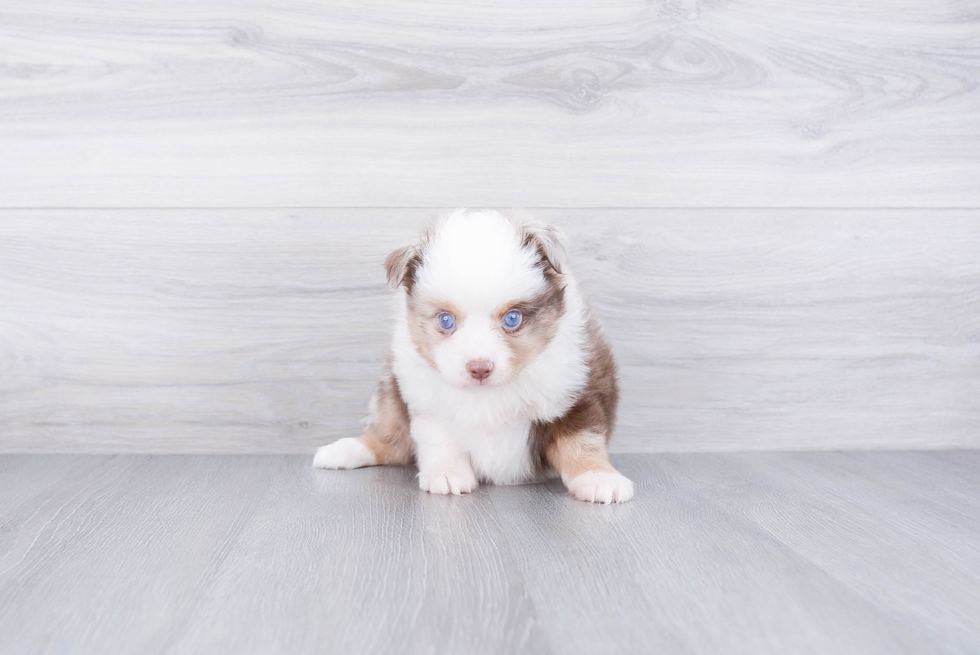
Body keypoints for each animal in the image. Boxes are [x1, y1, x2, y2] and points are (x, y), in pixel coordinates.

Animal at [314, 208, 636, 504]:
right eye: (446, 320)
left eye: (512, 318)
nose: (479, 368)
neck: (487, 393)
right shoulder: (426, 399)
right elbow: (439, 436)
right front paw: (447, 474)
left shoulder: (576, 393)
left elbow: (581, 441)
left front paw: (598, 478)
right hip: (391, 396)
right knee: (389, 438)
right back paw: (340, 451)